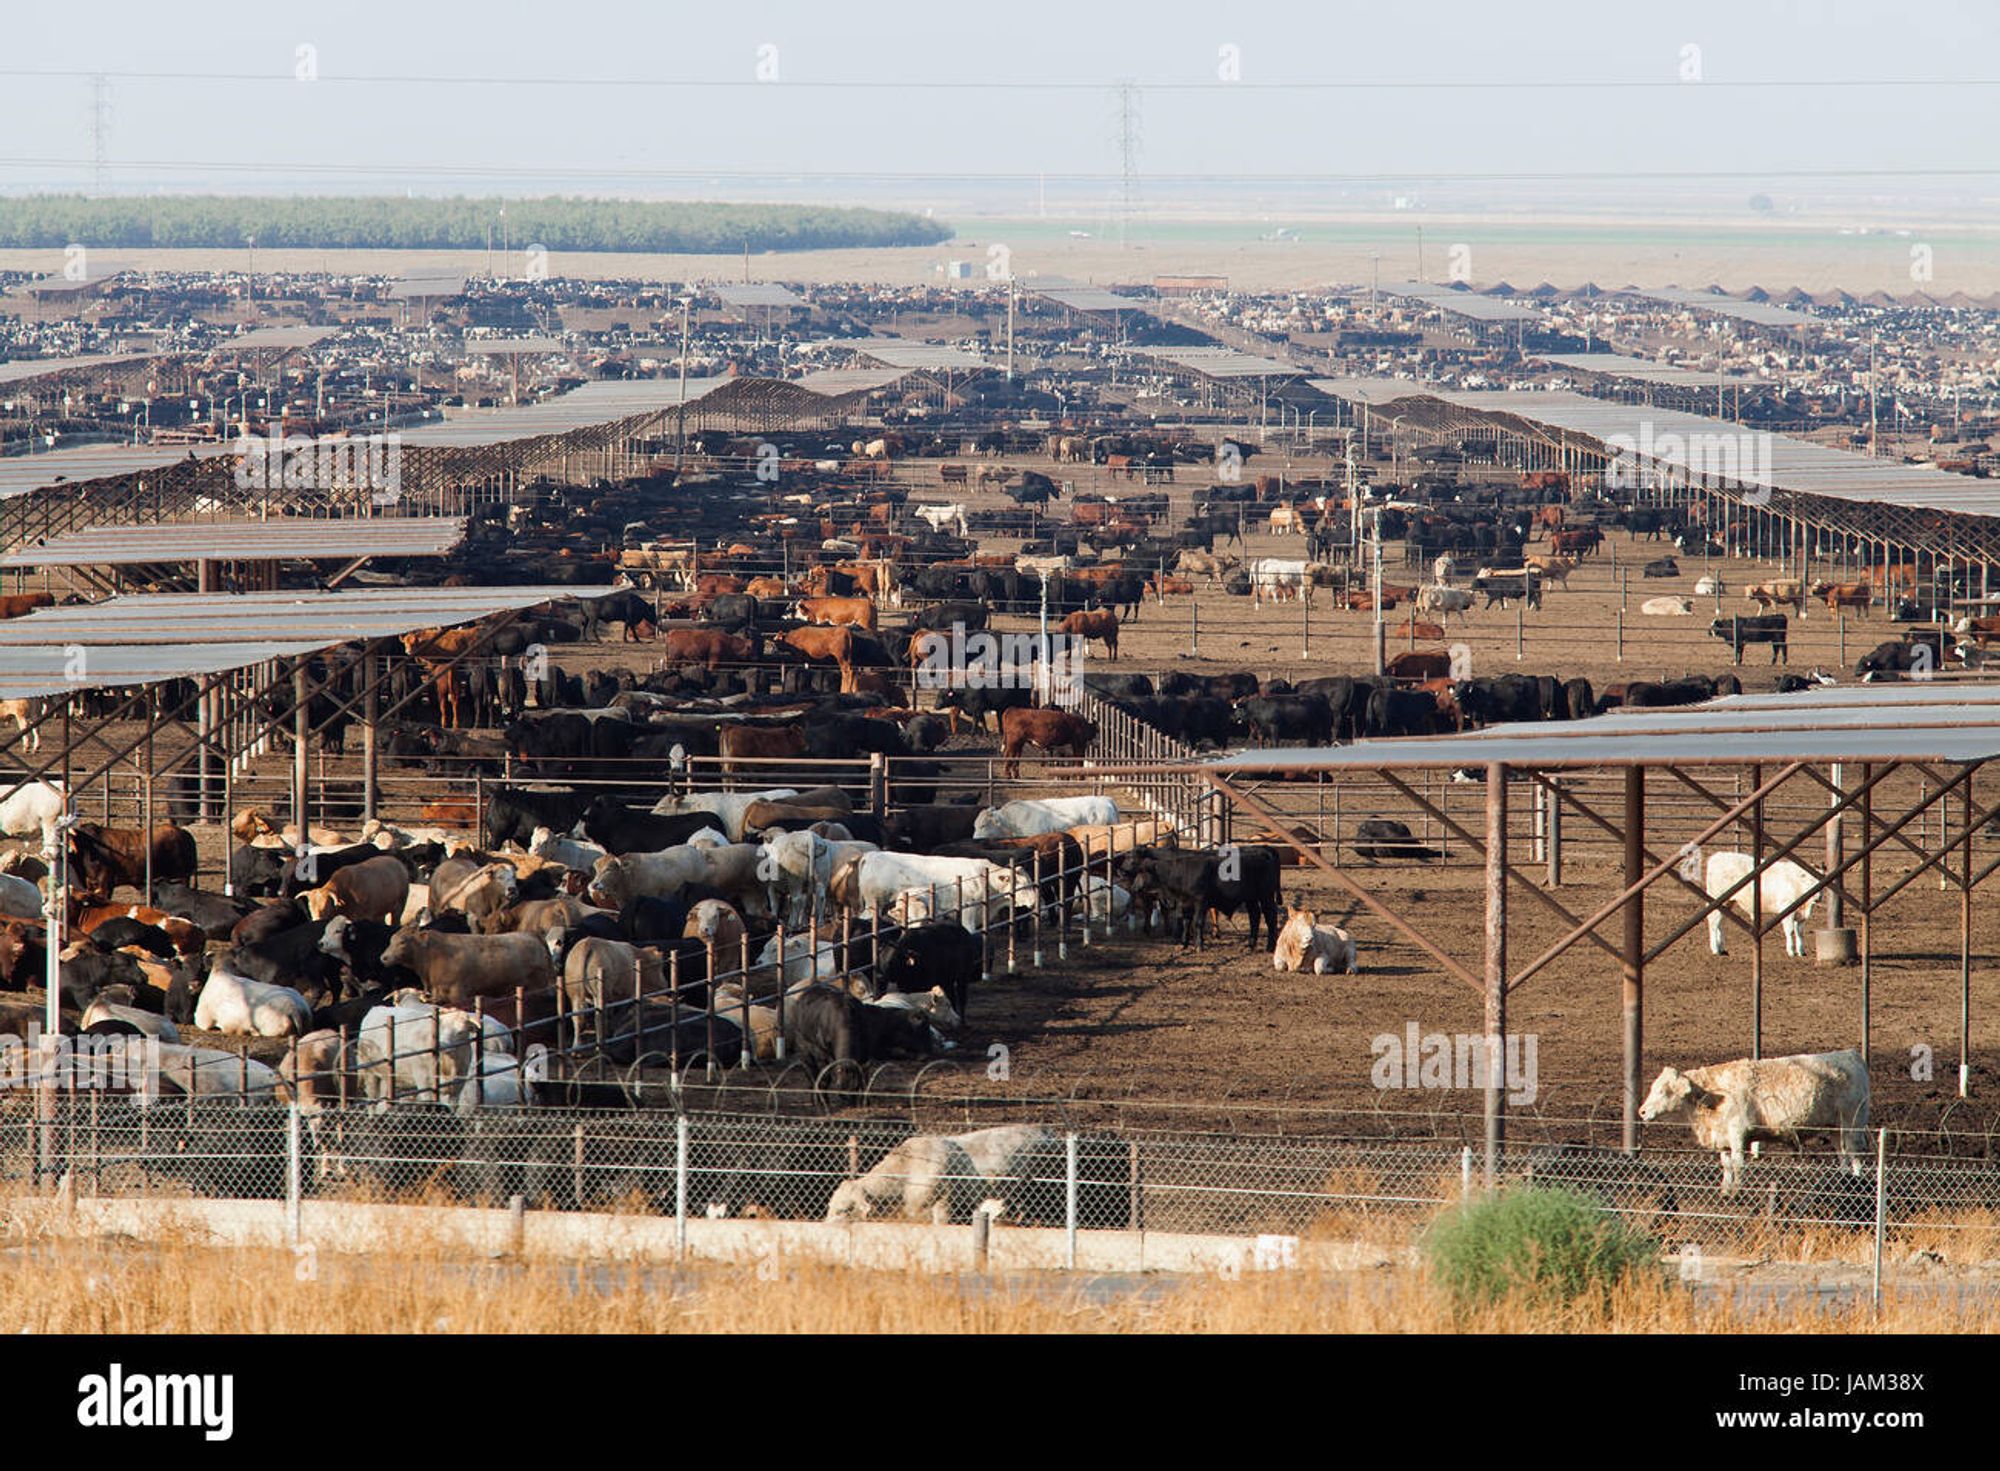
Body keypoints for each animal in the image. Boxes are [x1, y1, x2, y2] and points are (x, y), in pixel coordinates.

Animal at [1640, 1047, 1872, 1199]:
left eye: (1663, 1091)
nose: (1641, 1111)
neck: (1714, 1096)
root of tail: (1851, 1054)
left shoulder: (1737, 1133)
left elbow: (1737, 1164)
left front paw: (1736, 1192)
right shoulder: (1723, 1138)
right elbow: (1726, 1165)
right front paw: (1725, 1191)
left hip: (1852, 1122)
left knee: (1855, 1155)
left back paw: (1856, 1184)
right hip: (1835, 1128)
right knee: (1842, 1154)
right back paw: (1842, 1182)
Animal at [1696, 843, 1824, 959]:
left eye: (1821, 882)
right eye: (1810, 880)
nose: (1818, 898)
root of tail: (1718, 856)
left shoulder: (1802, 916)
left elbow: (1800, 933)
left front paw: (1801, 952)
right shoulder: (1787, 910)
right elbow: (1790, 931)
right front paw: (1791, 951)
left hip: (1726, 903)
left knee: (1720, 923)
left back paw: (1722, 948)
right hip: (1718, 899)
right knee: (1713, 922)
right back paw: (1715, 949)